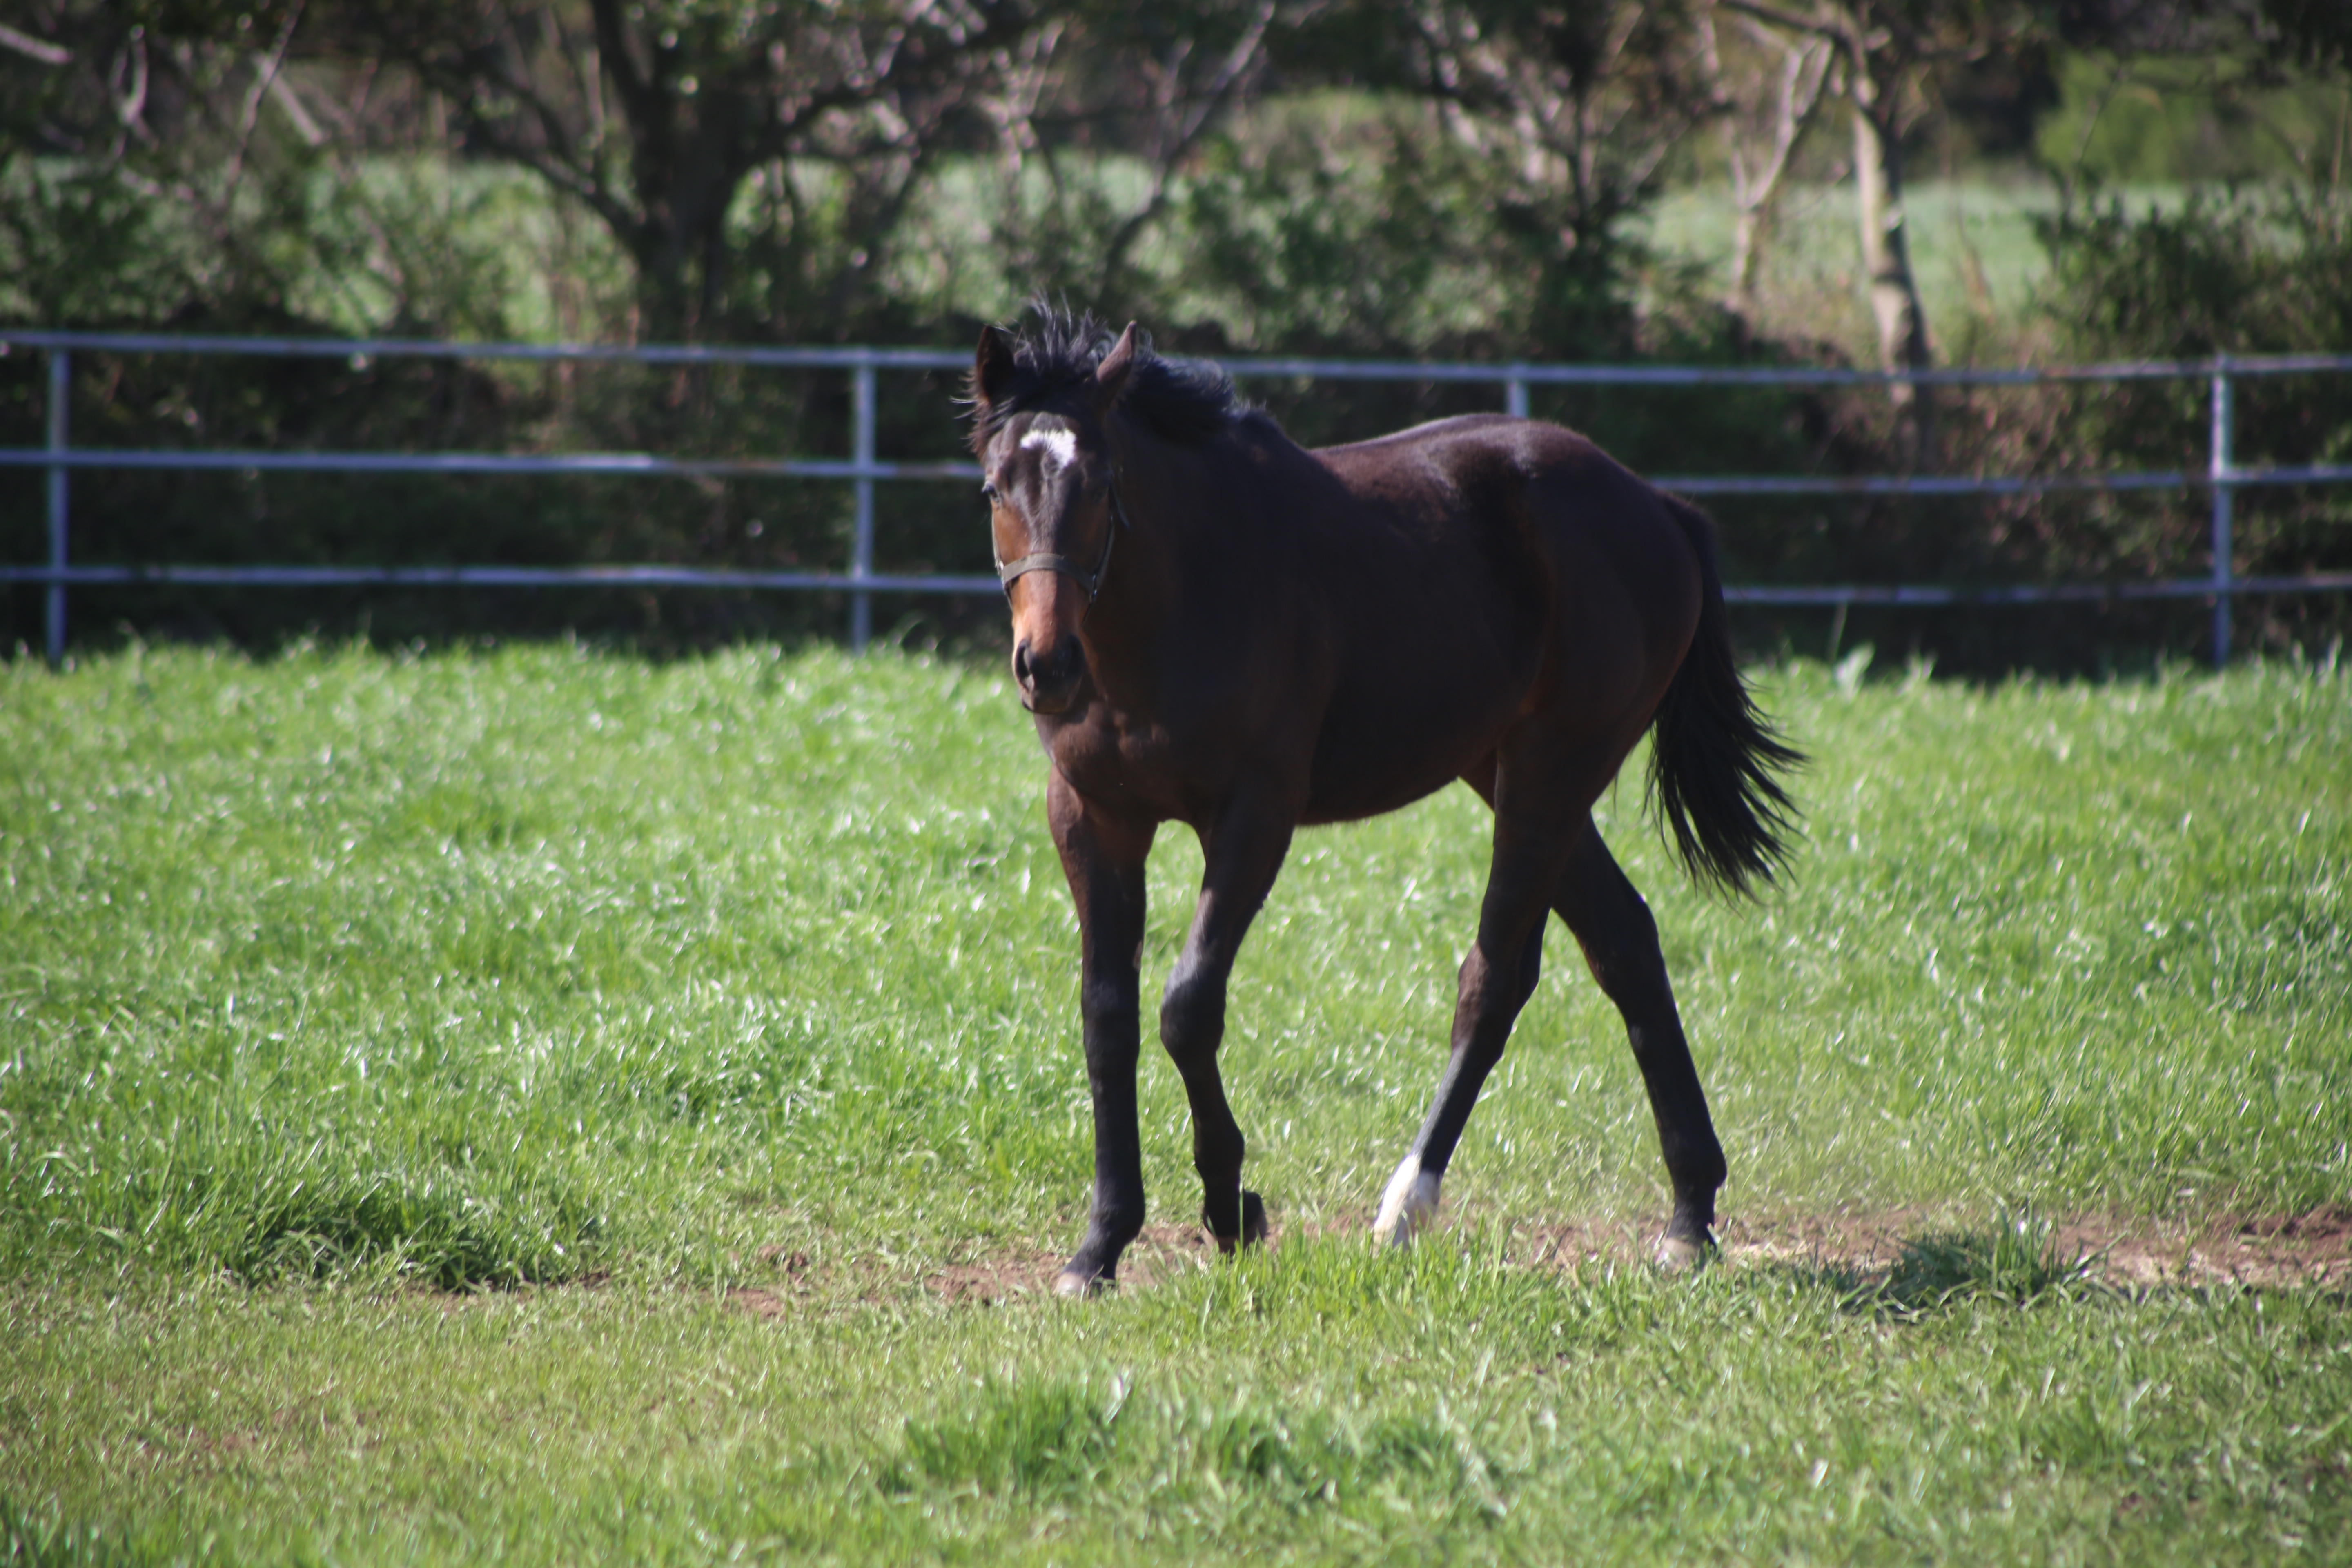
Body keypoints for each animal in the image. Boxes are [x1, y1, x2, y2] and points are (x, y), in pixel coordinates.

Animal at [964, 312, 1787, 1297]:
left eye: (1100, 483)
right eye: (994, 485)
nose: (1044, 667)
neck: (1174, 600)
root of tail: (1658, 508)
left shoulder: (1254, 816)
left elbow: (1188, 1006)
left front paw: (1232, 1209)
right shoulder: (1093, 818)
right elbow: (1106, 1018)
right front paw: (1102, 1242)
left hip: (1551, 775)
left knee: (1495, 978)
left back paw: (1407, 1206)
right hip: (1509, 773)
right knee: (1624, 943)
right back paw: (1690, 1215)